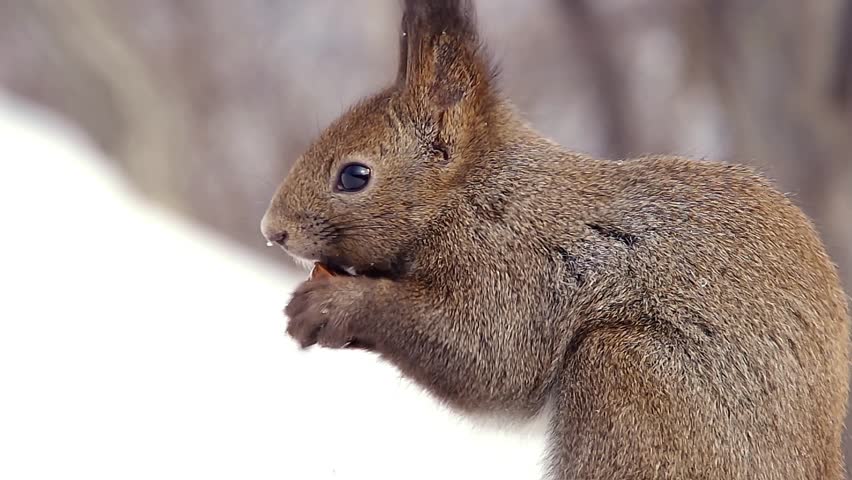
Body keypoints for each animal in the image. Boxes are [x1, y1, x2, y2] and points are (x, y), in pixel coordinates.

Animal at [262, 1, 852, 478]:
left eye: (354, 176)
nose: (272, 231)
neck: (477, 194)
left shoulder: (515, 269)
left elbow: (484, 356)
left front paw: (334, 304)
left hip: (631, 379)